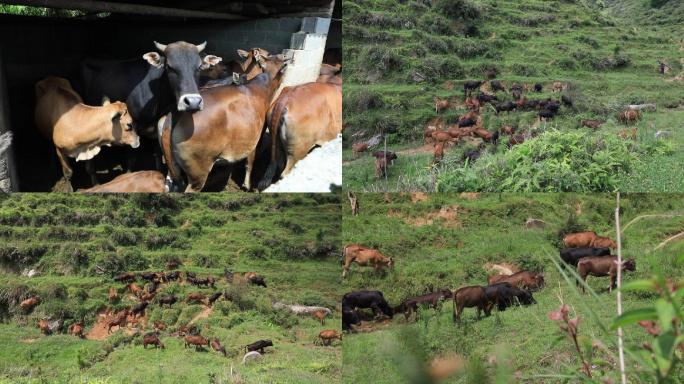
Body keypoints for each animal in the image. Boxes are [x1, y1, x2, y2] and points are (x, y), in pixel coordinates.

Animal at [162, 48, 290, 192]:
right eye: (271, 56)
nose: (283, 55)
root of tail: (174, 114)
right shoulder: (256, 139)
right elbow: (250, 163)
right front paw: (247, 185)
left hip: (173, 167)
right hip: (198, 173)